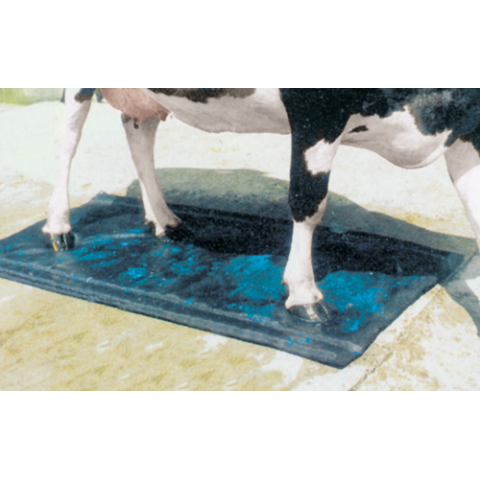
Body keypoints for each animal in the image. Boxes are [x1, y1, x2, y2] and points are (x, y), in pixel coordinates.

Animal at [44, 88, 480, 324]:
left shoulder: (467, 128)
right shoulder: (316, 112)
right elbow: (308, 201)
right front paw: (303, 293)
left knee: (138, 128)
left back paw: (163, 219)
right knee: (68, 138)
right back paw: (59, 226)